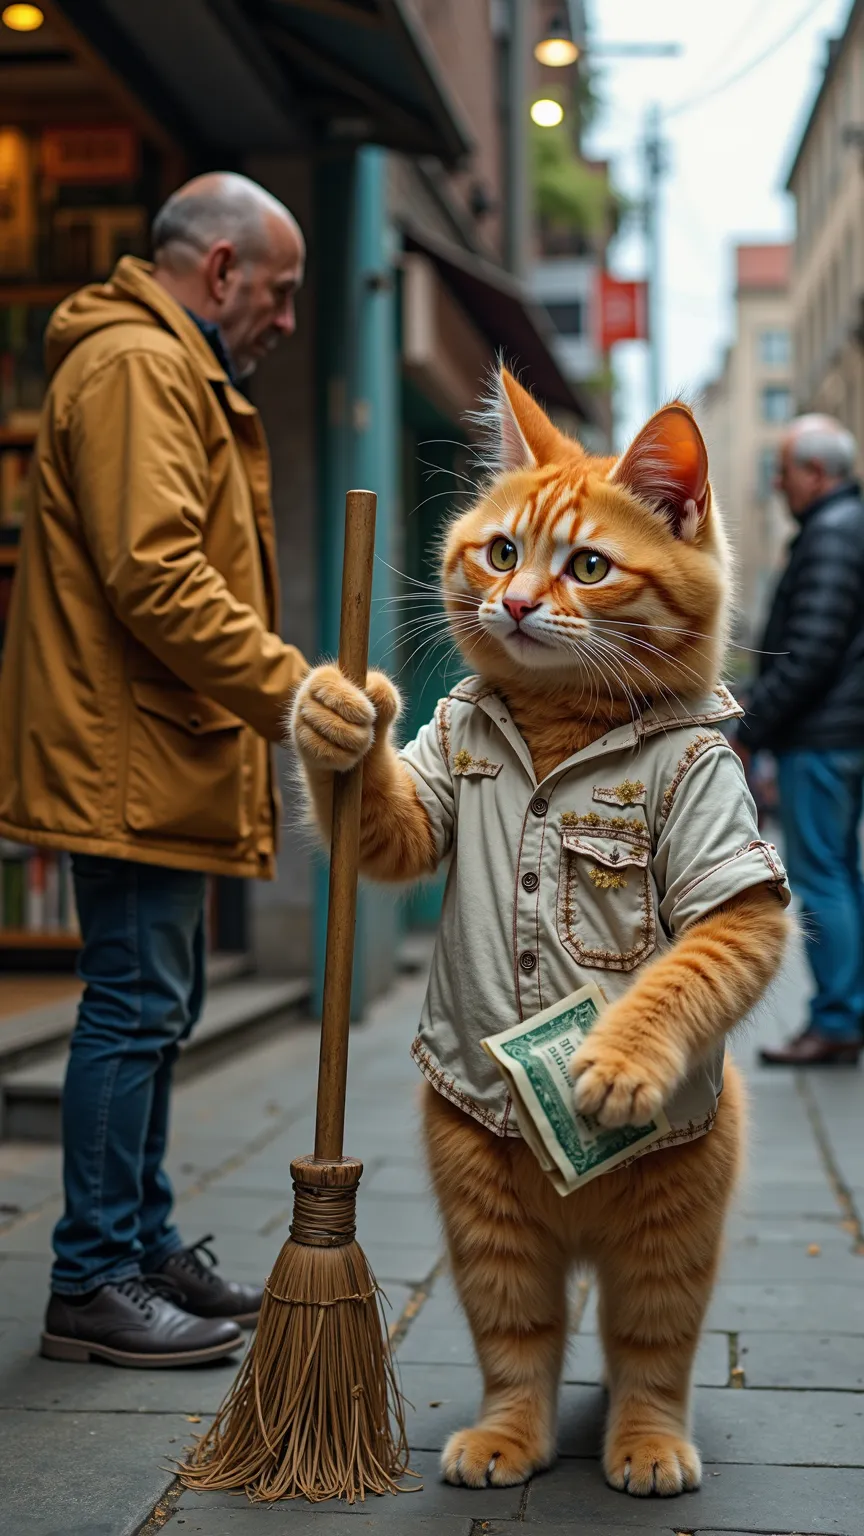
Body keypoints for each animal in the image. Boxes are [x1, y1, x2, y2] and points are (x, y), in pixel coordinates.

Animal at [289, 365, 787, 1492]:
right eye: (505, 553)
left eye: (589, 567)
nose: (515, 604)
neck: (567, 724)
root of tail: (581, 1218)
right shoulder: (434, 793)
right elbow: (388, 820)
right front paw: (338, 714)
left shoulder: (732, 874)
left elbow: (680, 974)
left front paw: (614, 1061)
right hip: (486, 1214)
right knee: (521, 1341)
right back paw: (506, 1437)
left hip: (672, 1225)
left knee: (651, 1348)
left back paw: (647, 1443)